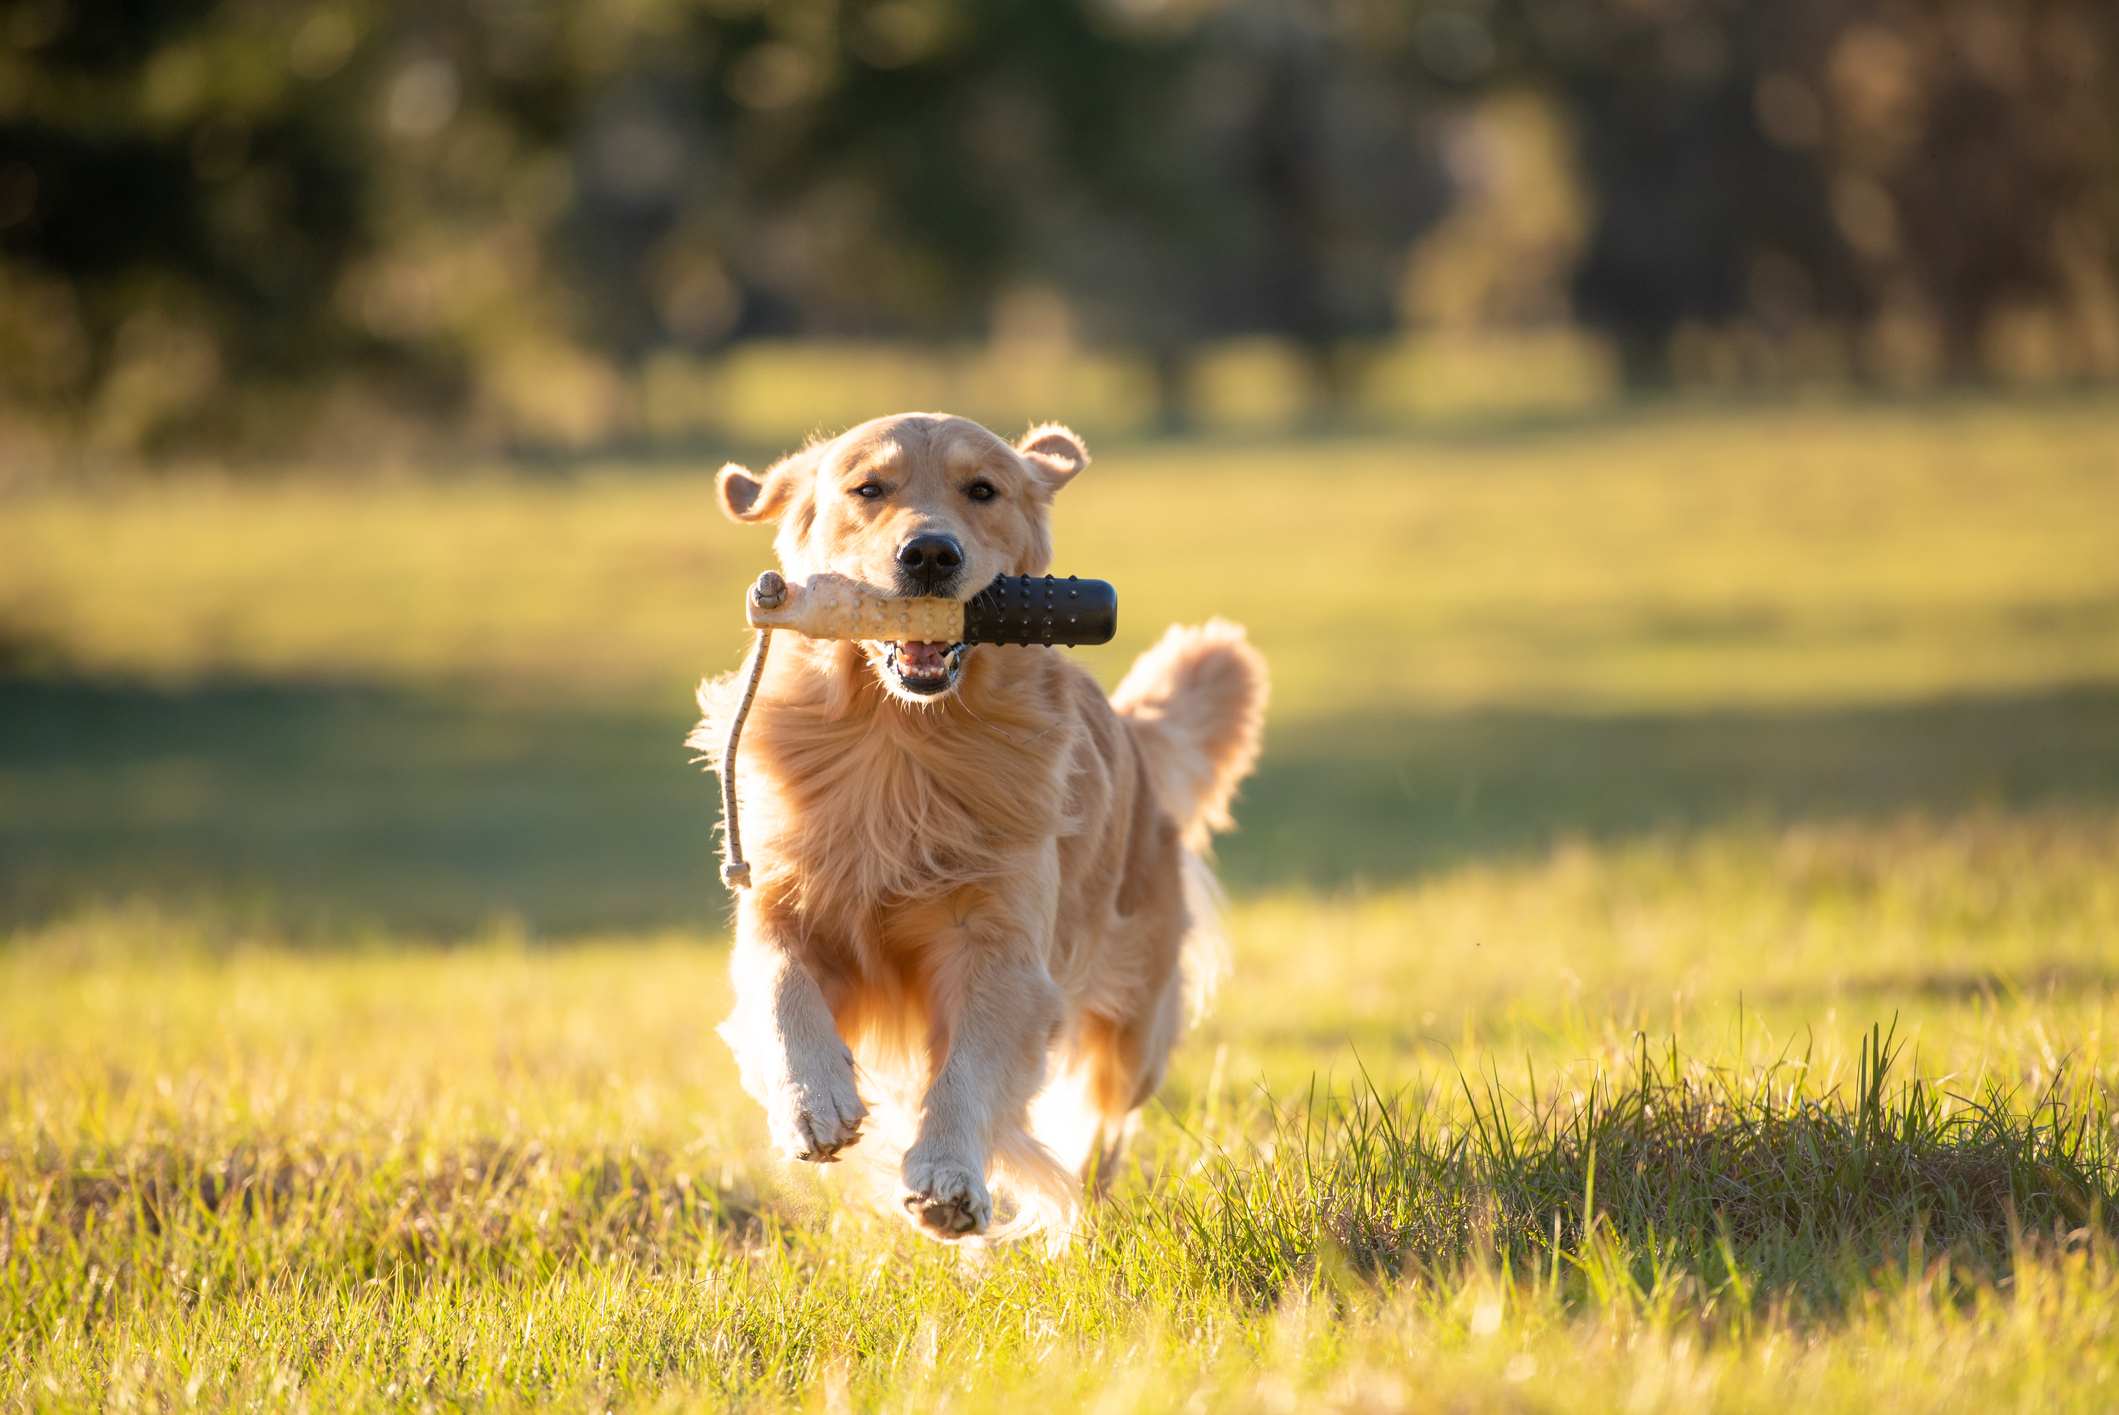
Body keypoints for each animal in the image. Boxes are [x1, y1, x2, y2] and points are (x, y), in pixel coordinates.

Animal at [686, 408, 1262, 1237]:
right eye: (868, 488)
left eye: (982, 489)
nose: (930, 553)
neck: (900, 738)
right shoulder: (779, 896)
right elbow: (776, 982)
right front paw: (810, 1099)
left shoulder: (1000, 946)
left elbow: (968, 1068)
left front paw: (948, 1174)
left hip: (1135, 1026)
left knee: (1102, 1114)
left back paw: (1081, 1192)